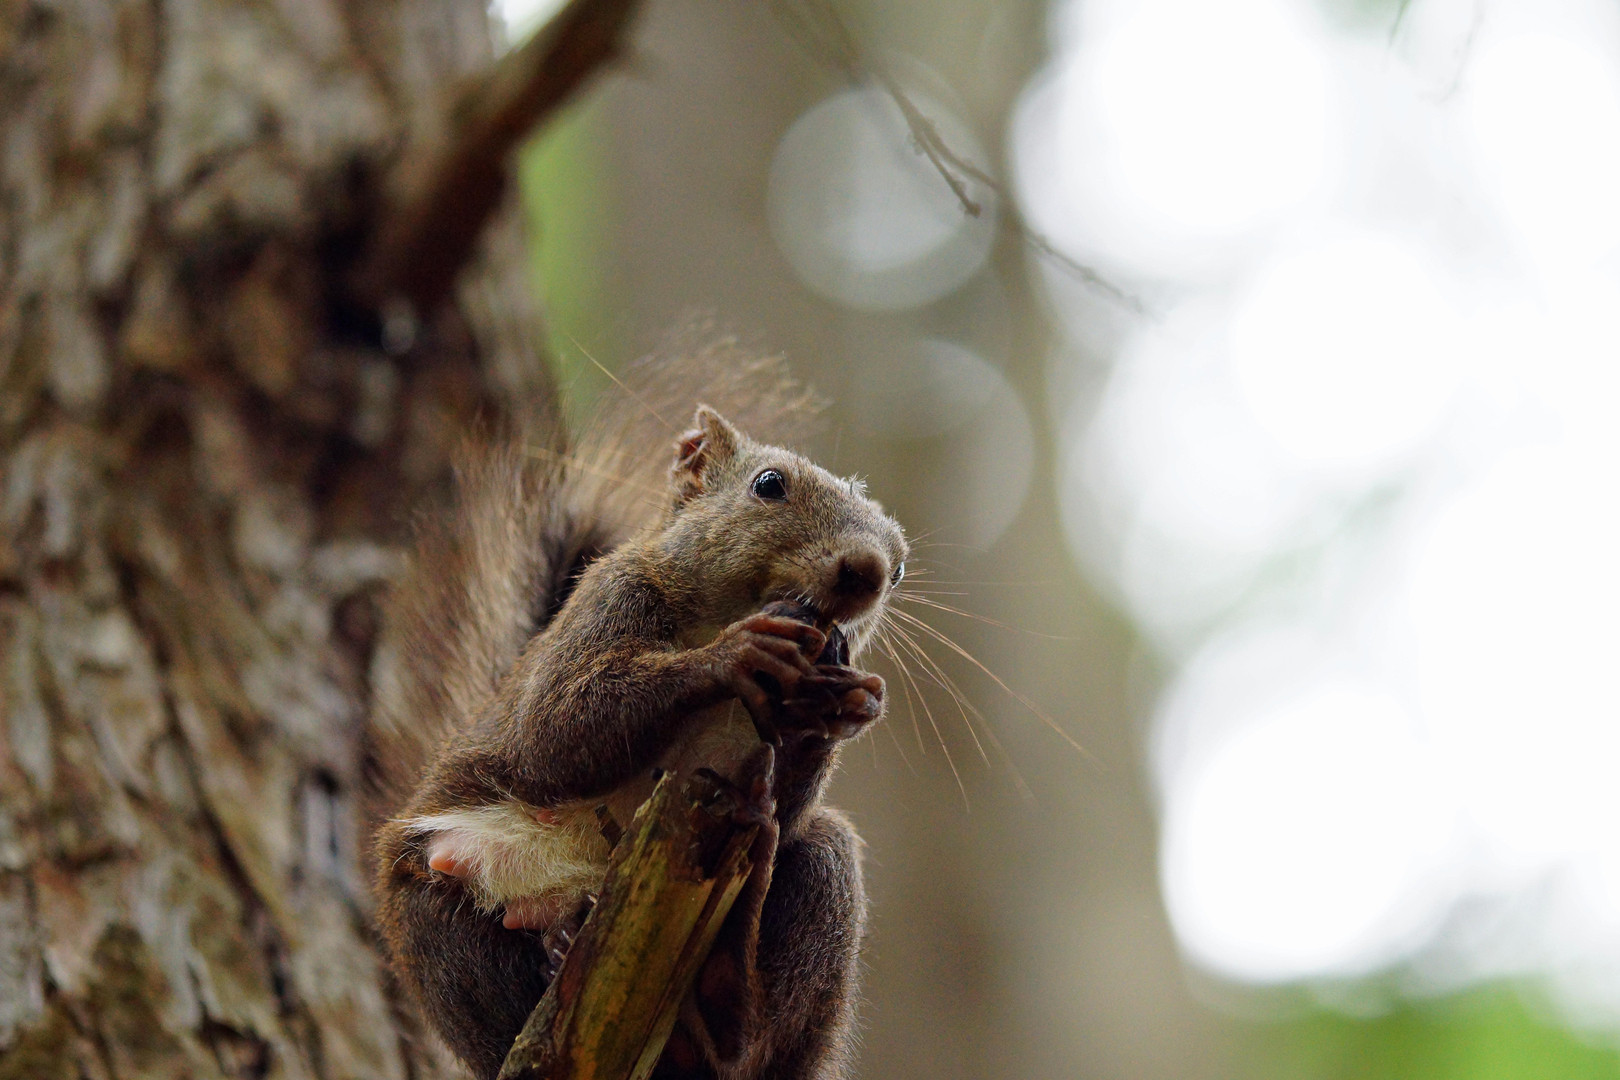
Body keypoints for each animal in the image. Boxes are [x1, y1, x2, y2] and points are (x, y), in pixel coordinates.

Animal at [365, 341, 908, 1080]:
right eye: (768, 484)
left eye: (901, 567)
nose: (869, 573)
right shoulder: (610, 598)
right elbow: (554, 736)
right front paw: (733, 655)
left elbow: (790, 801)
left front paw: (846, 704)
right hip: (437, 898)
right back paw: (560, 947)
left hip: (821, 877)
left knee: (753, 1037)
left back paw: (723, 998)